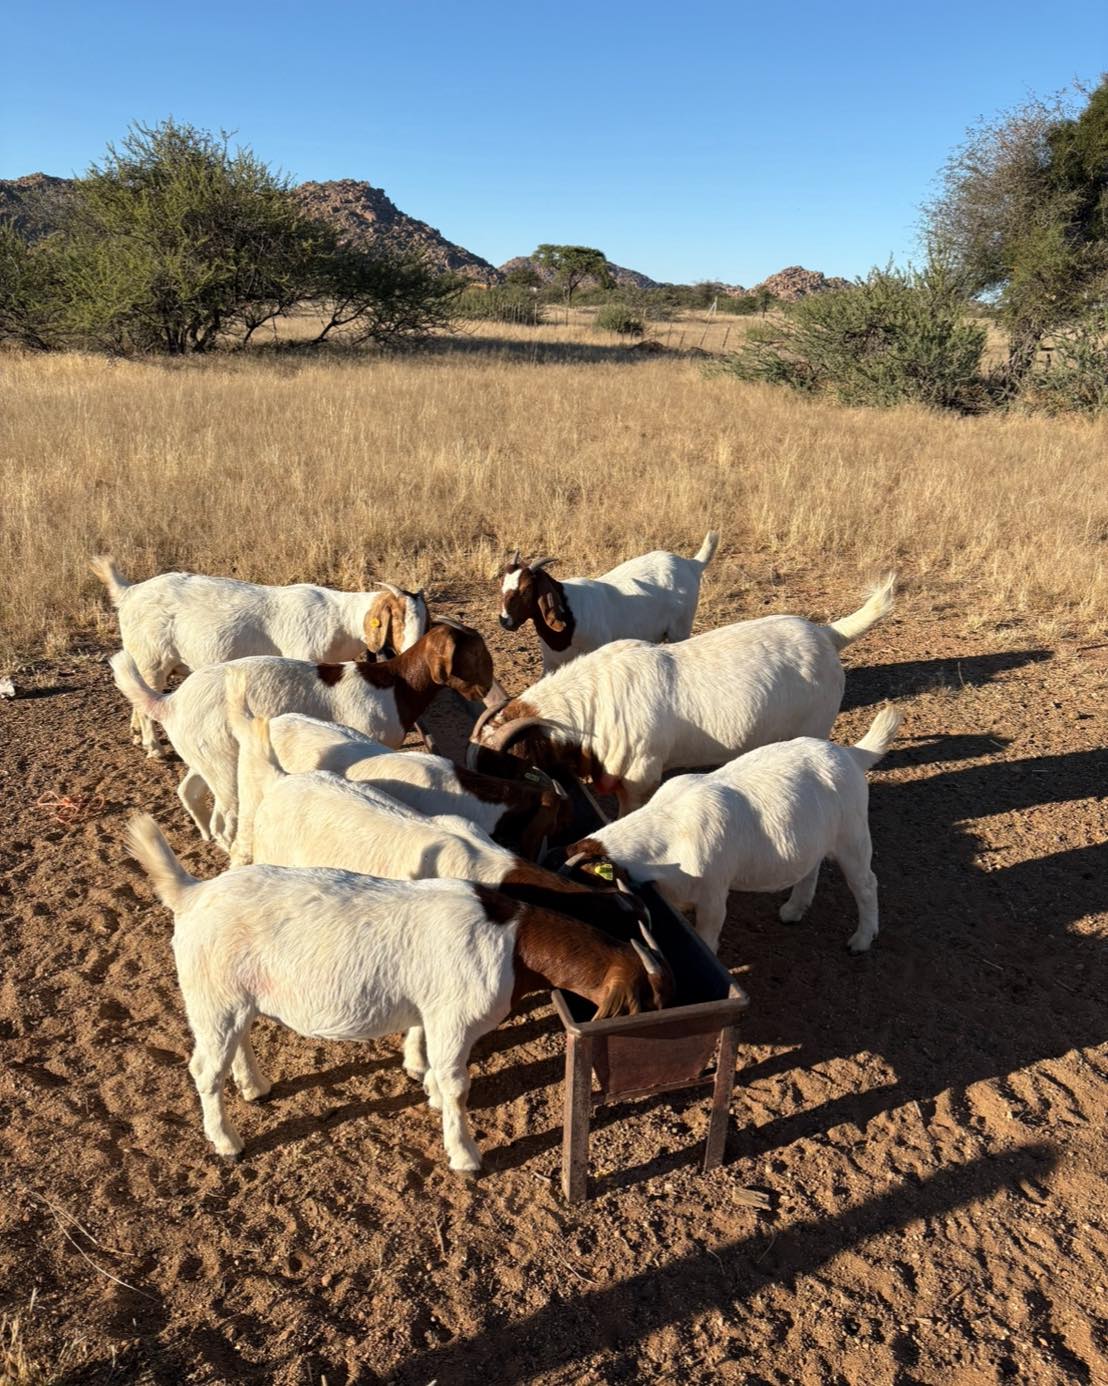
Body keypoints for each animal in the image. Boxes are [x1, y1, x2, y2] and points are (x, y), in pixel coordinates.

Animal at [91, 555, 428, 757]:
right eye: (398, 619)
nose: (414, 648)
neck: (339, 619)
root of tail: (128, 592)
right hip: (153, 660)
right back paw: (154, 747)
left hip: (142, 659)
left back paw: (137, 734)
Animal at [111, 618, 502, 852]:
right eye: (478, 656)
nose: (490, 690)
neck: (396, 684)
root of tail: (170, 703)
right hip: (222, 767)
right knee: (225, 817)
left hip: (208, 753)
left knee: (189, 790)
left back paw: (206, 833)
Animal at [127, 814, 672, 1170]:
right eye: (648, 999)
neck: (515, 939)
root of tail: (193, 894)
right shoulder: (454, 1018)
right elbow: (457, 1084)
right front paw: (464, 1154)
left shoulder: (432, 1011)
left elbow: (430, 1057)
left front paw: (424, 1084)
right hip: (211, 994)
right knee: (203, 1068)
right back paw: (226, 1142)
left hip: (232, 996)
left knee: (234, 1042)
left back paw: (255, 1087)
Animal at [499, 531, 718, 673]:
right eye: (503, 586)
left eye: (526, 589)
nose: (504, 620)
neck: (569, 615)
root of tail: (691, 564)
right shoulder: (551, 662)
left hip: (680, 630)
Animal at [564, 704, 903, 954]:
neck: (669, 832)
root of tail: (848, 753)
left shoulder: (713, 892)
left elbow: (708, 935)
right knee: (810, 868)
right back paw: (793, 910)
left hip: (853, 836)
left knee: (866, 884)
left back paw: (861, 940)